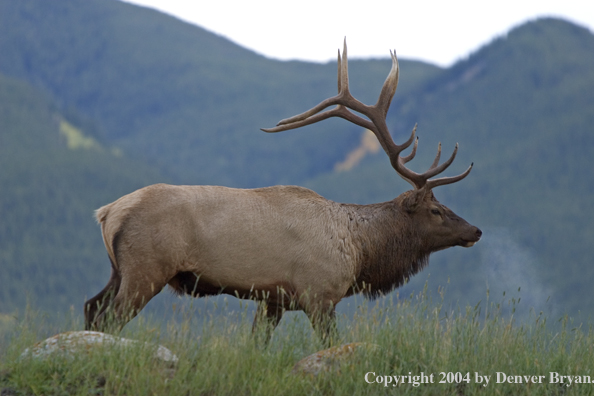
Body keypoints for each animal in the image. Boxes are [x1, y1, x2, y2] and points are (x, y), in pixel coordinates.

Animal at [84, 41, 480, 342]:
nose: (475, 230)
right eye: (435, 210)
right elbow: (330, 344)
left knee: (91, 307)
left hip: (120, 270)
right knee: (109, 317)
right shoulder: (319, 294)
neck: (360, 250)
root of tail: (106, 213)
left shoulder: (272, 300)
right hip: (146, 268)